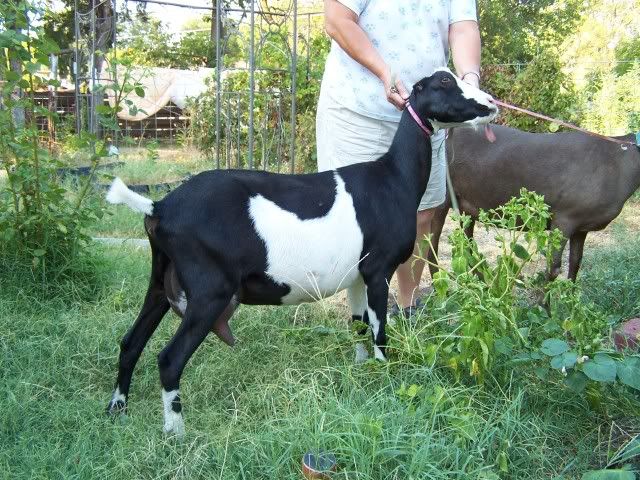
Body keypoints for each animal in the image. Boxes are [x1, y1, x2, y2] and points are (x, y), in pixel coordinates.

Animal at [104, 68, 497, 435]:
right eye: (444, 82)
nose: (492, 104)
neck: (392, 178)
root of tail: (159, 206)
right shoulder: (378, 271)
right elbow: (380, 331)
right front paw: (385, 377)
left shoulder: (357, 276)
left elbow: (358, 325)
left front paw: (361, 372)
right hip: (209, 291)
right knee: (169, 359)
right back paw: (176, 431)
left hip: (161, 280)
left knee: (130, 342)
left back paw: (117, 407)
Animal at [428, 124, 640, 281]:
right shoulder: (565, 217)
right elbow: (553, 268)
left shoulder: (581, 227)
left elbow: (575, 264)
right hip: (439, 195)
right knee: (430, 245)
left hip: (467, 203)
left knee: (469, 247)